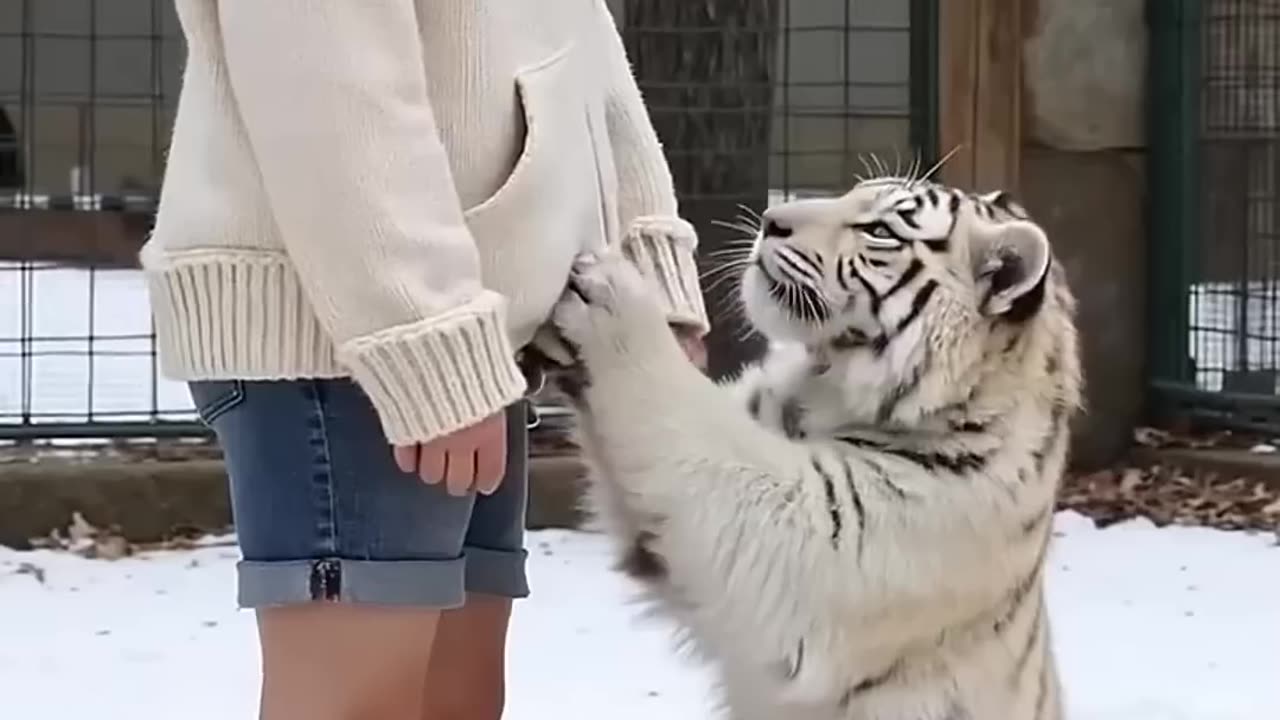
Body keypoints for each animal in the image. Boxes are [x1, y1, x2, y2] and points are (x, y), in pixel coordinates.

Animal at [537, 172, 1083, 720]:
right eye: (854, 193)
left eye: (880, 231)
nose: (770, 220)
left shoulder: (827, 534)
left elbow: (688, 417)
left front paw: (609, 291)